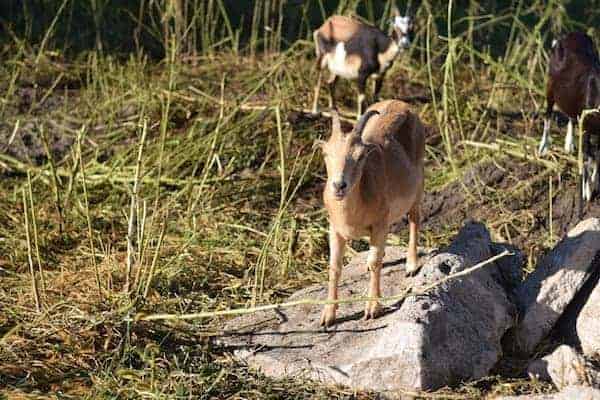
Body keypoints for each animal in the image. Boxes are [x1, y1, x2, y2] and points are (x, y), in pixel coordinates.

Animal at [316, 98, 424, 326]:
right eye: (326, 154)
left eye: (360, 157)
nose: (339, 186)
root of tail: (402, 104)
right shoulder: (335, 229)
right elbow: (334, 267)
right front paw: (328, 315)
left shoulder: (379, 225)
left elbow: (376, 264)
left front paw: (373, 307)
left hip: (418, 185)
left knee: (414, 219)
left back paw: (411, 265)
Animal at [540, 31, 600, 200]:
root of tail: (566, 36)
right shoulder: (587, 126)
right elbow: (588, 157)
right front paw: (587, 191)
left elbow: (596, 157)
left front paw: (593, 183)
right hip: (550, 85)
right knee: (547, 114)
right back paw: (543, 147)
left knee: (571, 117)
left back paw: (568, 145)